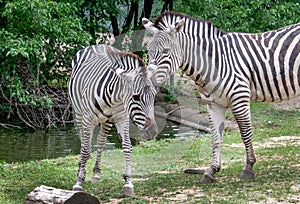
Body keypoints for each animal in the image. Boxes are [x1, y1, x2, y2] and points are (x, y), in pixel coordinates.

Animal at [67, 44, 157, 196]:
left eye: (154, 95)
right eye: (136, 97)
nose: (153, 132)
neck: (115, 97)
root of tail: (96, 45)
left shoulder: (122, 119)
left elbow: (127, 146)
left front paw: (128, 182)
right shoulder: (88, 120)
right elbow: (85, 150)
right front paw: (79, 183)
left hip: (107, 120)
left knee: (101, 141)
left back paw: (96, 173)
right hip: (79, 114)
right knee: (84, 143)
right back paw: (80, 169)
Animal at [142, 11, 300, 182]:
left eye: (166, 51)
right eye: (148, 51)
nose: (148, 82)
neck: (215, 62)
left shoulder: (240, 98)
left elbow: (245, 133)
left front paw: (248, 167)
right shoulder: (213, 104)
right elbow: (216, 138)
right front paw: (211, 170)